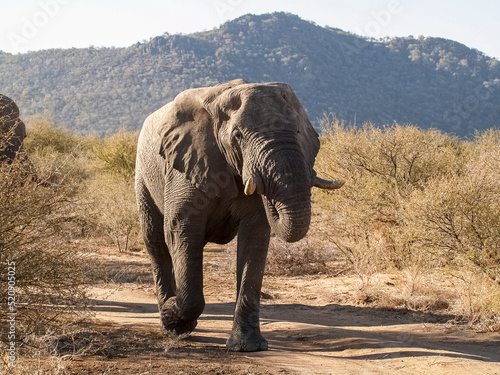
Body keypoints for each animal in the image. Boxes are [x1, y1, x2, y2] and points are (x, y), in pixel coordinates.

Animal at [135, 78, 342, 352]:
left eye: (299, 131)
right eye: (238, 136)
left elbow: (255, 237)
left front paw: (247, 347)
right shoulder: (185, 167)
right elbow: (181, 230)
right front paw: (173, 317)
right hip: (143, 175)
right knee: (156, 241)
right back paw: (167, 320)